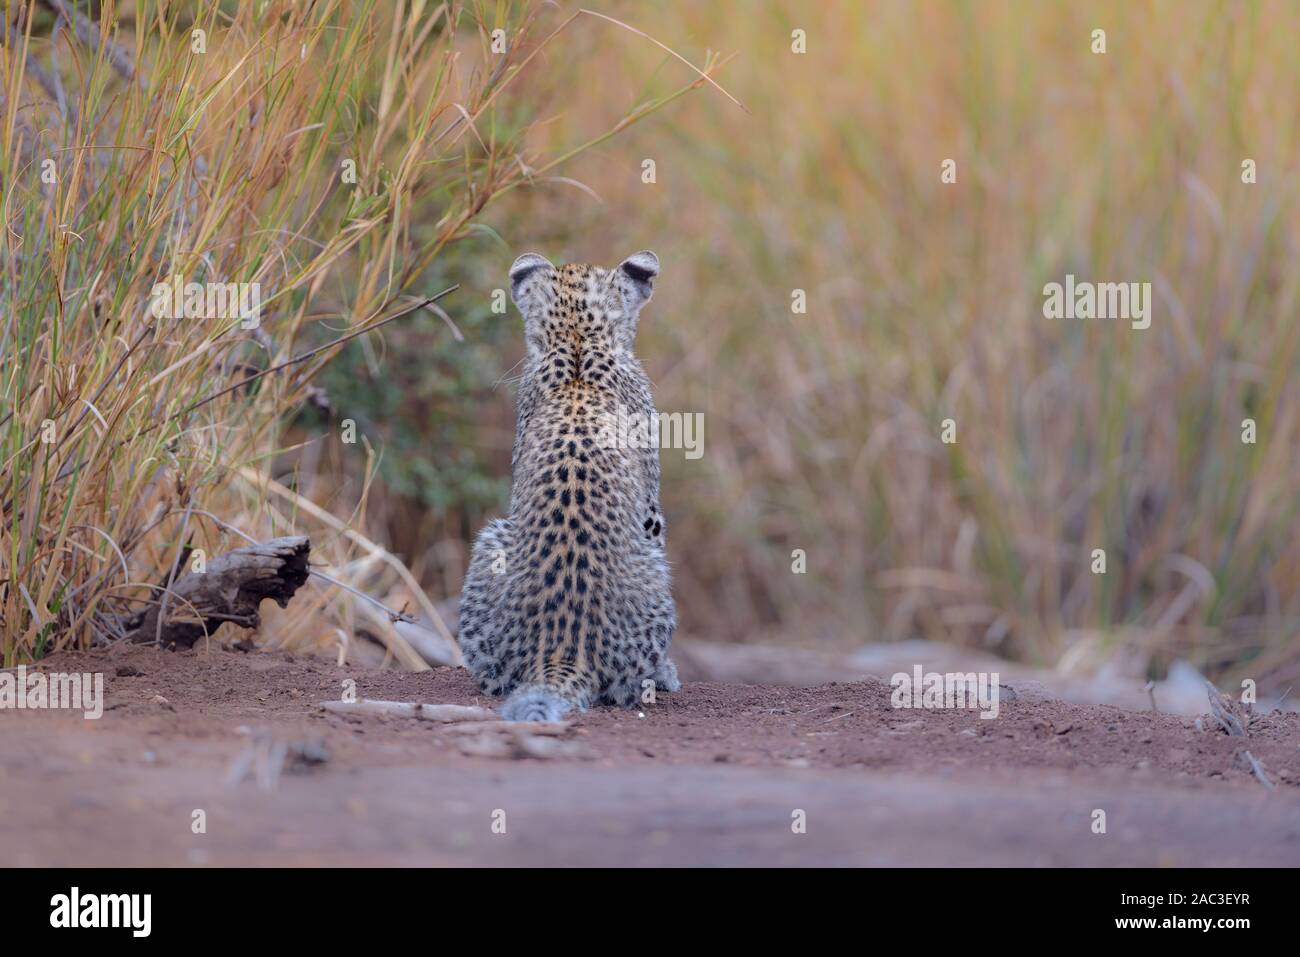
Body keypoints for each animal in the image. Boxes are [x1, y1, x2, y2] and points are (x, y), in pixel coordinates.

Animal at [458, 250, 679, 721]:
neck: (577, 343)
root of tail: (562, 648)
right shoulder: (651, 514)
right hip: (647, 568)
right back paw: (660, 675)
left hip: (493, 540)